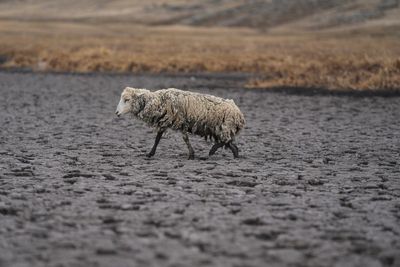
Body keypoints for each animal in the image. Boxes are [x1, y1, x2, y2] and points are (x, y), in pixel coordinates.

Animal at [114, 87, 245, 159]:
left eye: (127, 100)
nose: (116, 113)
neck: (158, 101)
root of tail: (239, 113)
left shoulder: (180, 121)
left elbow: (185, 139)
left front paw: (191, 155)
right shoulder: (165, 121)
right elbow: (157, 139)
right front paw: (150, 153)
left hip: (224, 127)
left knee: (227, 142)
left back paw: (212, 150)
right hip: (221, 129)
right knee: (231, 144)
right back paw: (234, 155)